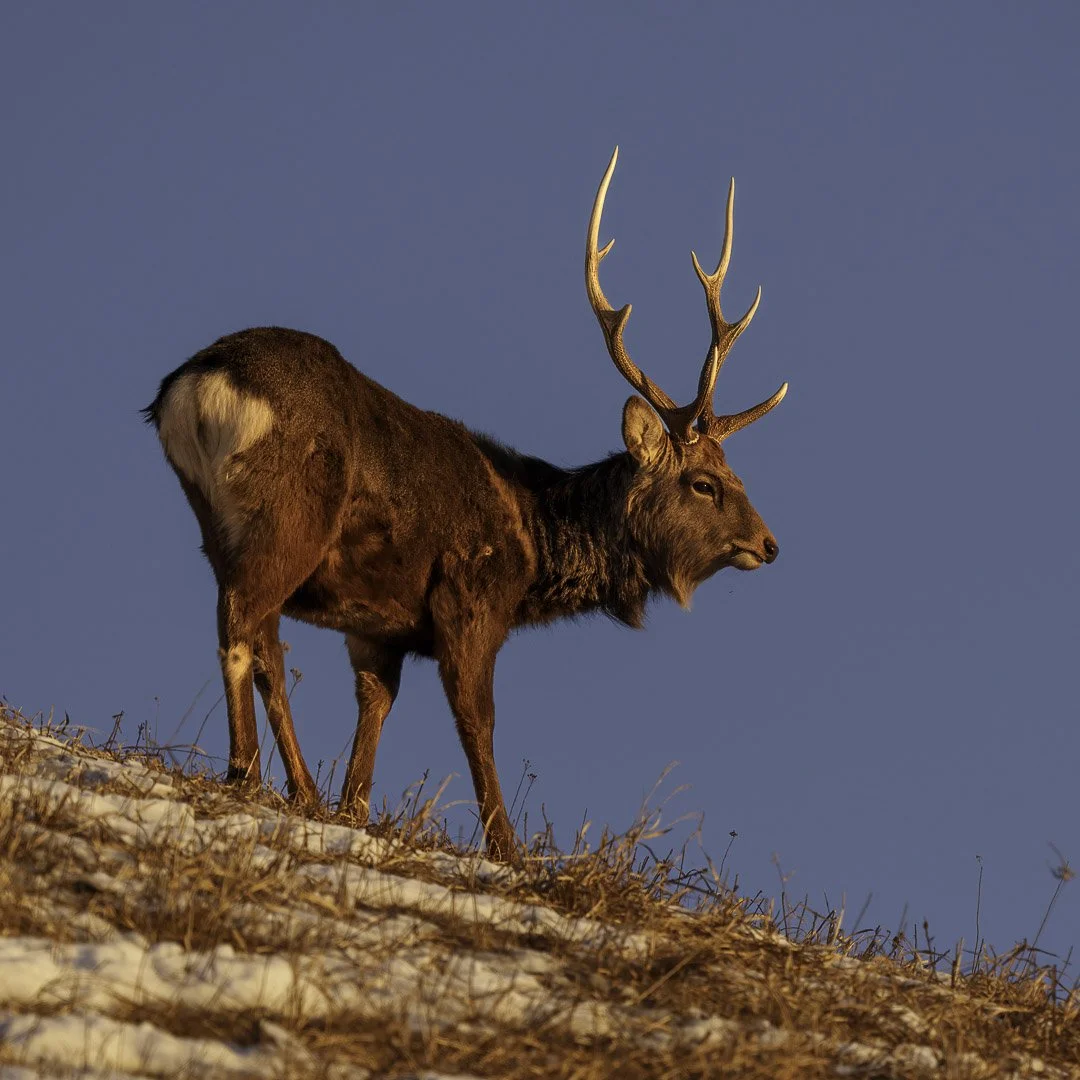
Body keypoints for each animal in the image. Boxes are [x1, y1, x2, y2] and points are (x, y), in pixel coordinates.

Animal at [144, 148, 787, 861]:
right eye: (704, 482)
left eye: (732, 473)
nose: (768, 544)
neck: (533, 546)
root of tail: (198, 383)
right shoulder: (471, 600)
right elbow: (478, 721)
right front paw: (506, 848)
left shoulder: (379, 628)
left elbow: (374, 710)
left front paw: (351, 811)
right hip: (291, 521)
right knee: (250, 633)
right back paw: (258, 776)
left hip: (216, 525)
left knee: (252, 633)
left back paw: (290, 784)